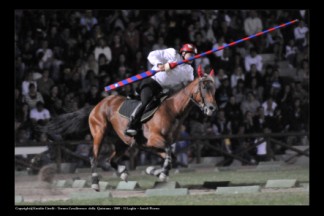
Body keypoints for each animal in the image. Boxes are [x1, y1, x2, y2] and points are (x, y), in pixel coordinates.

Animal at [88, 71, 218, 191]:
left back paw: (123, 172)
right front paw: (162, 174)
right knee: (94, 158)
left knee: (111, 159)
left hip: (123, 142)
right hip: (99, 133)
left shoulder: (152, 145)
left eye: (214, 89)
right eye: (204, 87)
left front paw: (153, 171)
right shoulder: (154, 140)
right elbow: (169, 152)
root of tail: (101, 103)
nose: (212, 108)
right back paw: (95, 182)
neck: (173, 110)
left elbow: (171, 156)